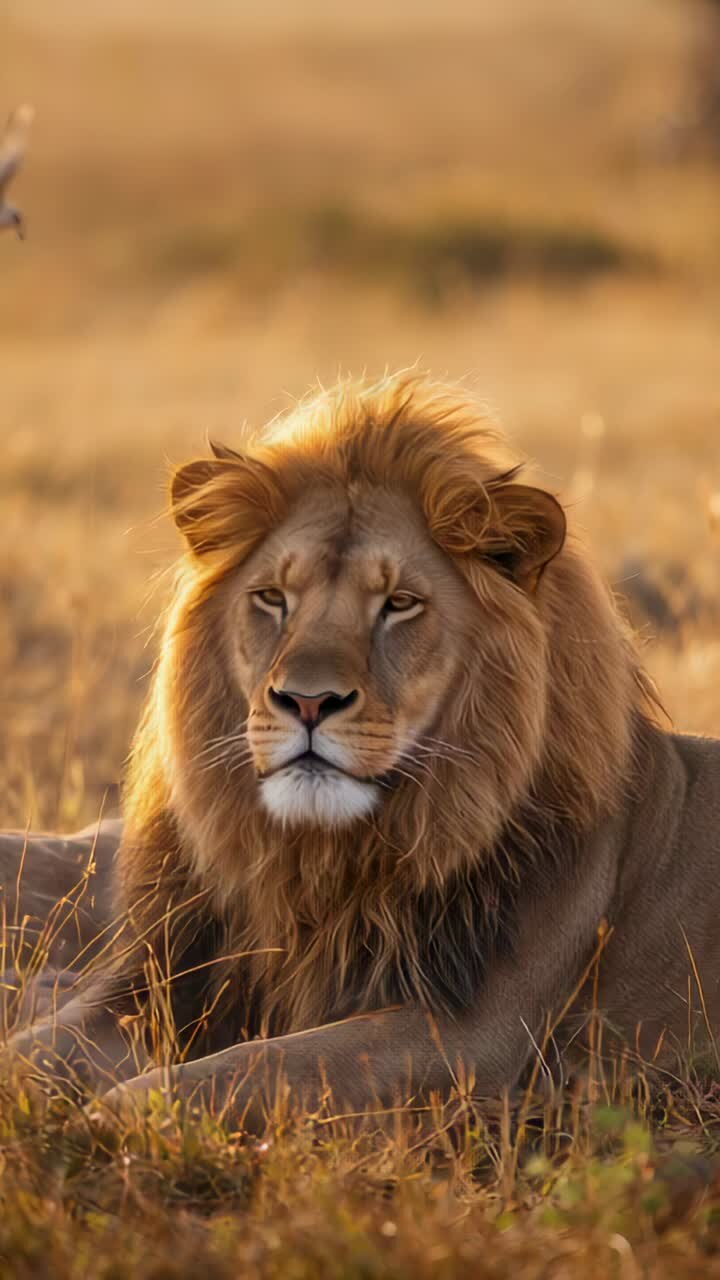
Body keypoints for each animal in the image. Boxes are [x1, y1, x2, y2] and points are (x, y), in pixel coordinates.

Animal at [5, 371, 720, 1128]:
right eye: (272, 597)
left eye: (399, 604)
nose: (307, 702)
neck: (318, 862)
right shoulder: (163, 979)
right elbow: (34, 1047)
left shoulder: (474, 1032)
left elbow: (256, 1065)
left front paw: (118, 1113)